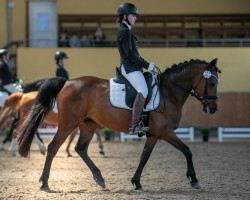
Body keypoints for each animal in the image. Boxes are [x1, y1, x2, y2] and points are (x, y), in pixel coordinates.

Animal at [17, 58, 221, 191]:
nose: (213, 108)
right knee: (53, 147)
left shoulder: (154, 134)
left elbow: (144, 157)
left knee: (80, 149)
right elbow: (187, 150)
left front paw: (136, 182)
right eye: (211, 83)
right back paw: (45, 183)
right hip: (68, 124)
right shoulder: (165, 132)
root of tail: (68, 82)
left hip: (88, 125)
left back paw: (99, 178)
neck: (169, 92)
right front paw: (194, 179)